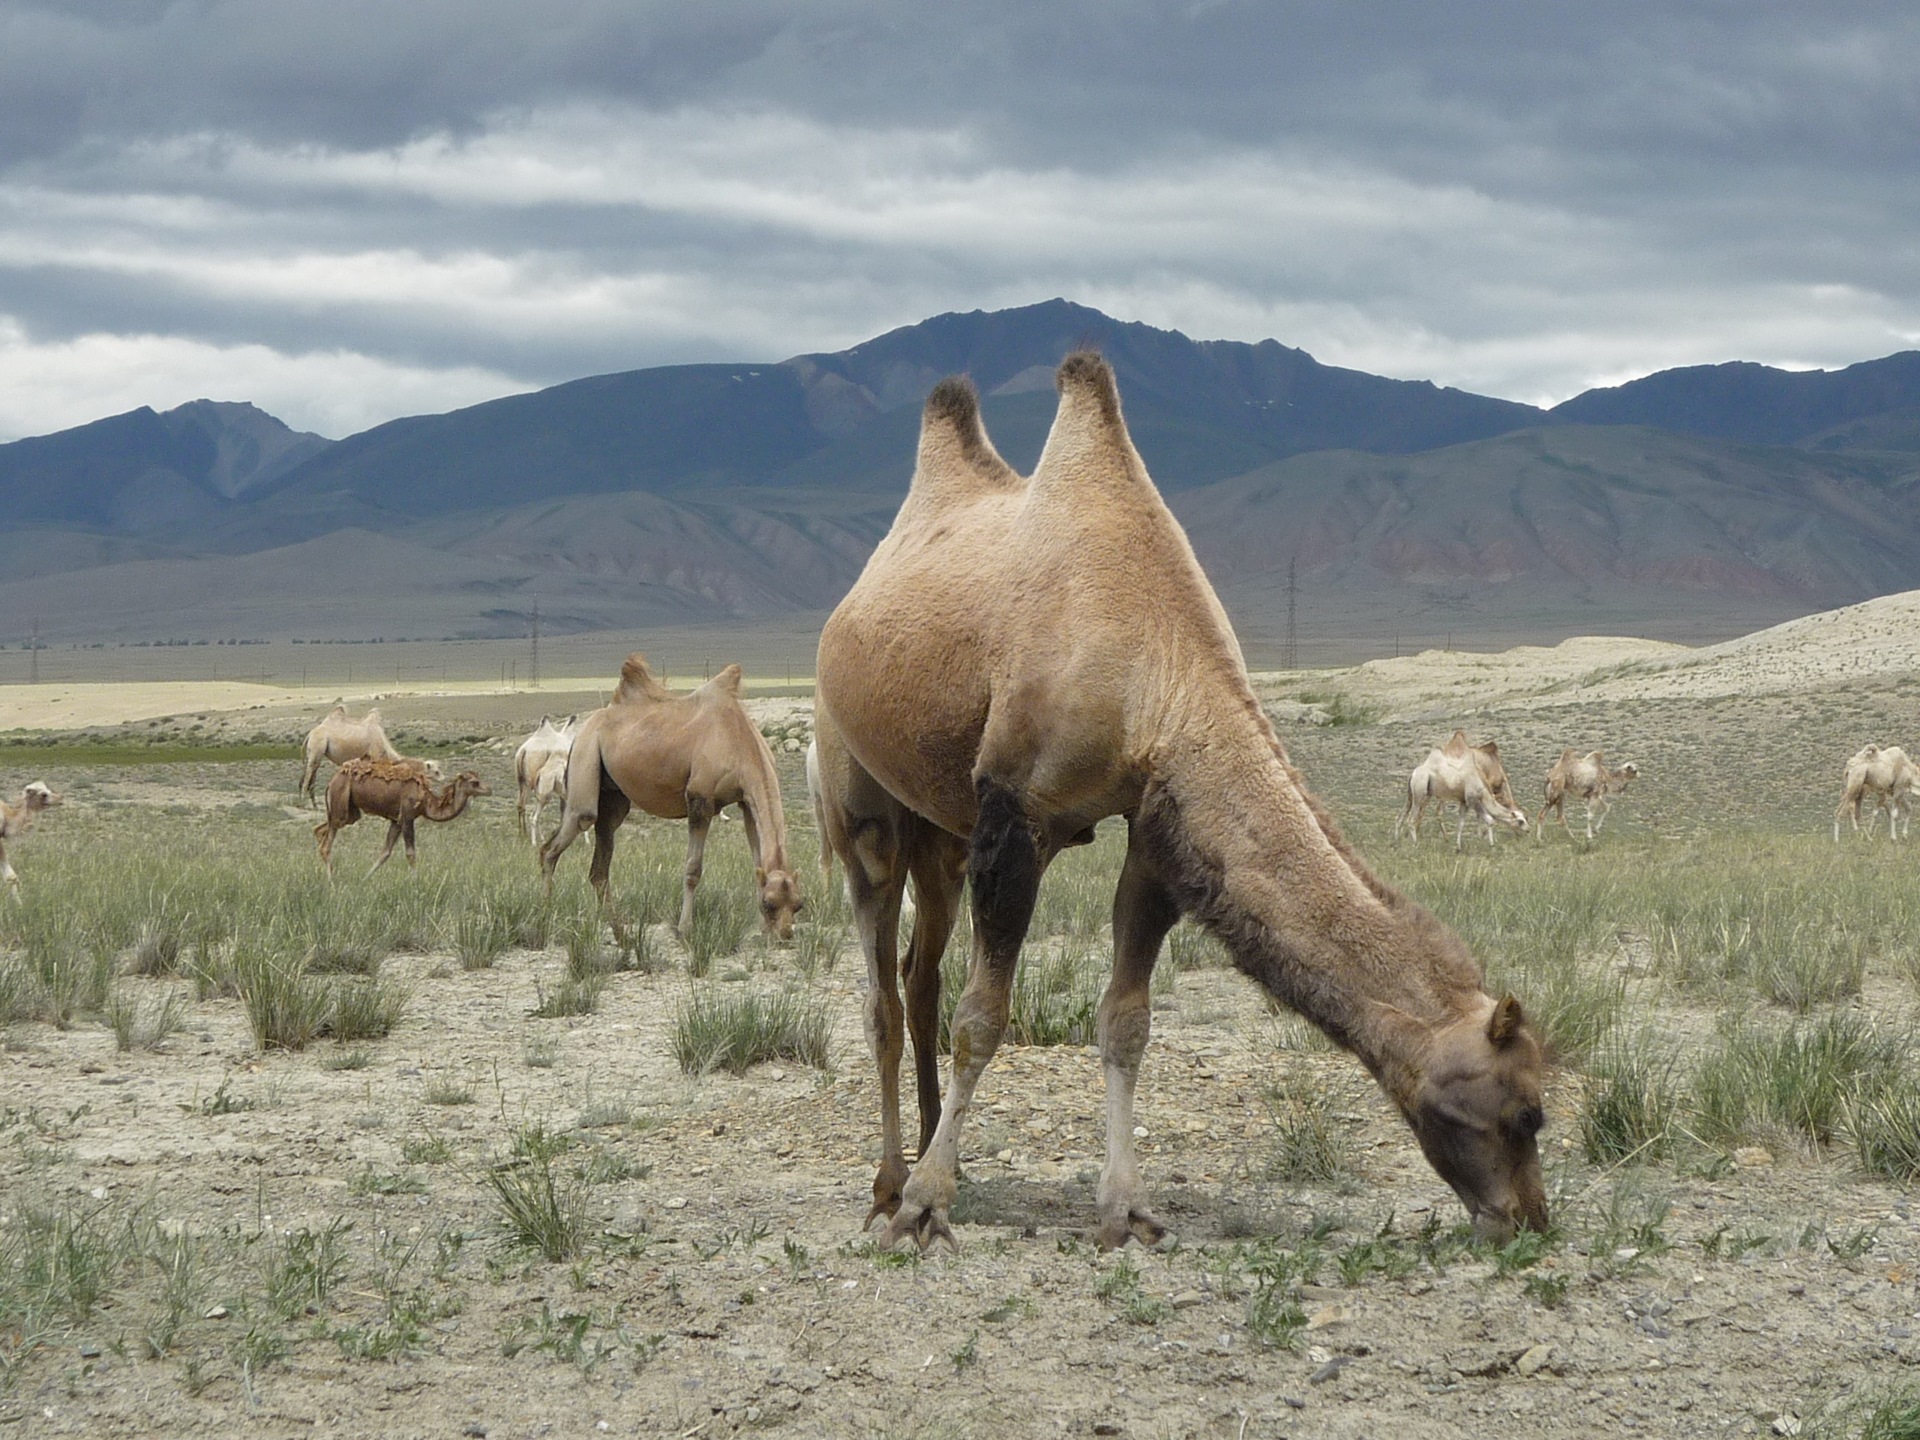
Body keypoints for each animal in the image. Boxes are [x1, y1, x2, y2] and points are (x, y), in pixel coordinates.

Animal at [316, 756, 491, 879]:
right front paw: (416, 882)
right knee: (326, 844)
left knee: (320, 830)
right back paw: (331, 883)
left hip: (348, 812)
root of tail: (331, 782)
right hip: (340, 806)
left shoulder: (397, 820)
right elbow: (410, 852)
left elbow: (385, 852)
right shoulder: (407, 816)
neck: (426, 801)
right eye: (475, 782)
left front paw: (364, 879)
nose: (489, 789)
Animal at [510, 718, 576, 852]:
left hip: (522, 782)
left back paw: (522, 834)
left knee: (521, 805)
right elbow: (563, 807)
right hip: (532, 780)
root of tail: (523, 751)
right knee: (528, 805)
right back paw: (529, 835)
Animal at [541, 656, 802, 948]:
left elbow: (756, 861)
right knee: (556, 842)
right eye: (770, 904)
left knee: (599, 864)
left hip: (613, 796)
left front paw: (762, 930)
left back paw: (622, 936)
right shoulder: (700, 799)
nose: (785, 936)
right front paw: (685, 929)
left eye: (798, 905)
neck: (740, 741)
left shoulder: (745, 800)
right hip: (585, 757)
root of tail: (587, 725)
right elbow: (693, 869)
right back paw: (543, 922)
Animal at [1397, 737, 1528, 852]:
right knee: (1411, 819)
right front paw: (1491, 845)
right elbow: (1490, 820)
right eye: (1521, 821)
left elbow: (1460, 824)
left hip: (1413, 794)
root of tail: (1413, 773)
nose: (1528, 830)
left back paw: (1396, 842)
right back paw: (1415, 844)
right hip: (1420, 792)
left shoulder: (1464, 801)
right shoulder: (1472, 799)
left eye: (1525, 819)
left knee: (1400, 816)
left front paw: (1458, 848)